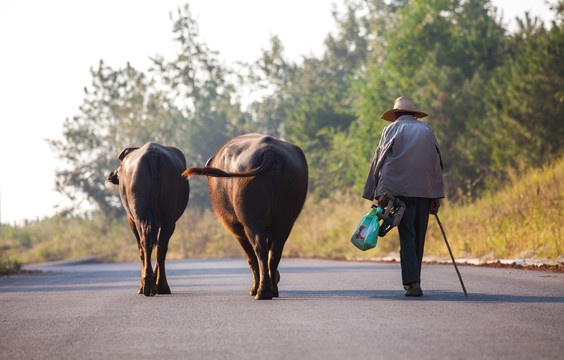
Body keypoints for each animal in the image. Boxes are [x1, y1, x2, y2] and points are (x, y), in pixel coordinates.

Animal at [107, 142, 191, 296]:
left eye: (120, 165)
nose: (111, 175)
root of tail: (152, 155)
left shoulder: (131, 220)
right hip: (167, 218)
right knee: (159, 245)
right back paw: (156, 284)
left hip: (142, 215)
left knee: (146, 242)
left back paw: (150, 285)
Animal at [184, 134, 308, 300]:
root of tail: (269, 152)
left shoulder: (235, 228)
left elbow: (251, 257)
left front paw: (254, 288)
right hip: (285, 220)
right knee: (275, 251)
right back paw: (272, 289)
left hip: (250, 220)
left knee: (259, 247)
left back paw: (262, 291)